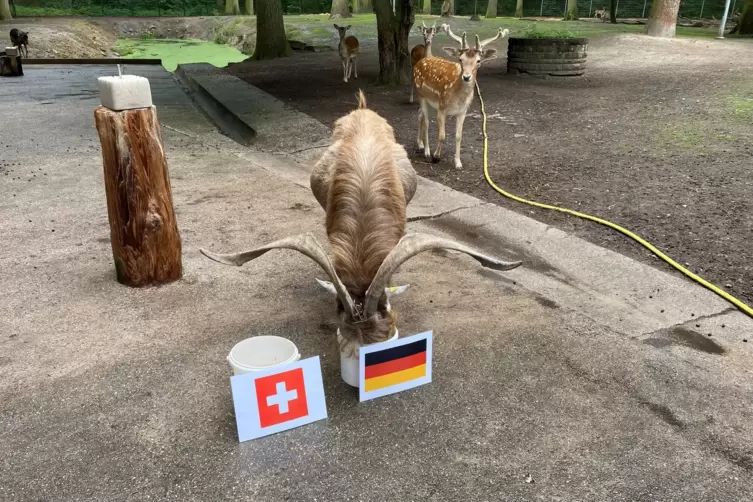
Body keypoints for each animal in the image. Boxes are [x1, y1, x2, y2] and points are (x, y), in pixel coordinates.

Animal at [412, 24, 512, 170]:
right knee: (426, 121)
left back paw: (420, 144)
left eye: (478, 60)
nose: (466, 77)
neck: (458, 97)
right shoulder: (442, 107)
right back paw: (426, 151)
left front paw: (458, 163)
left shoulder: (463, 111)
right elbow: (442, 135)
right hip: (421, 95)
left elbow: (459, 136)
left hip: (431, 101)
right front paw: (436, 156)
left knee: (420, 115)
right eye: (460, 59)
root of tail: (422, 60)